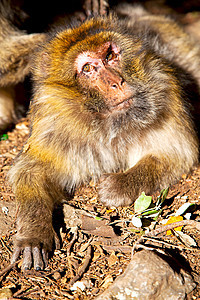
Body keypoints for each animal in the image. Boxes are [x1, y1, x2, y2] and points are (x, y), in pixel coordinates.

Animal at [9, 4, 200, 272]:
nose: (117, 82)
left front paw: (118, 185)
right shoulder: (53, 123)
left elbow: (177, 153)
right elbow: (31, 170)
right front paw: (32, 233)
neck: (106, 122)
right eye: (88, 69)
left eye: (110, 56)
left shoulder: (167, 88)